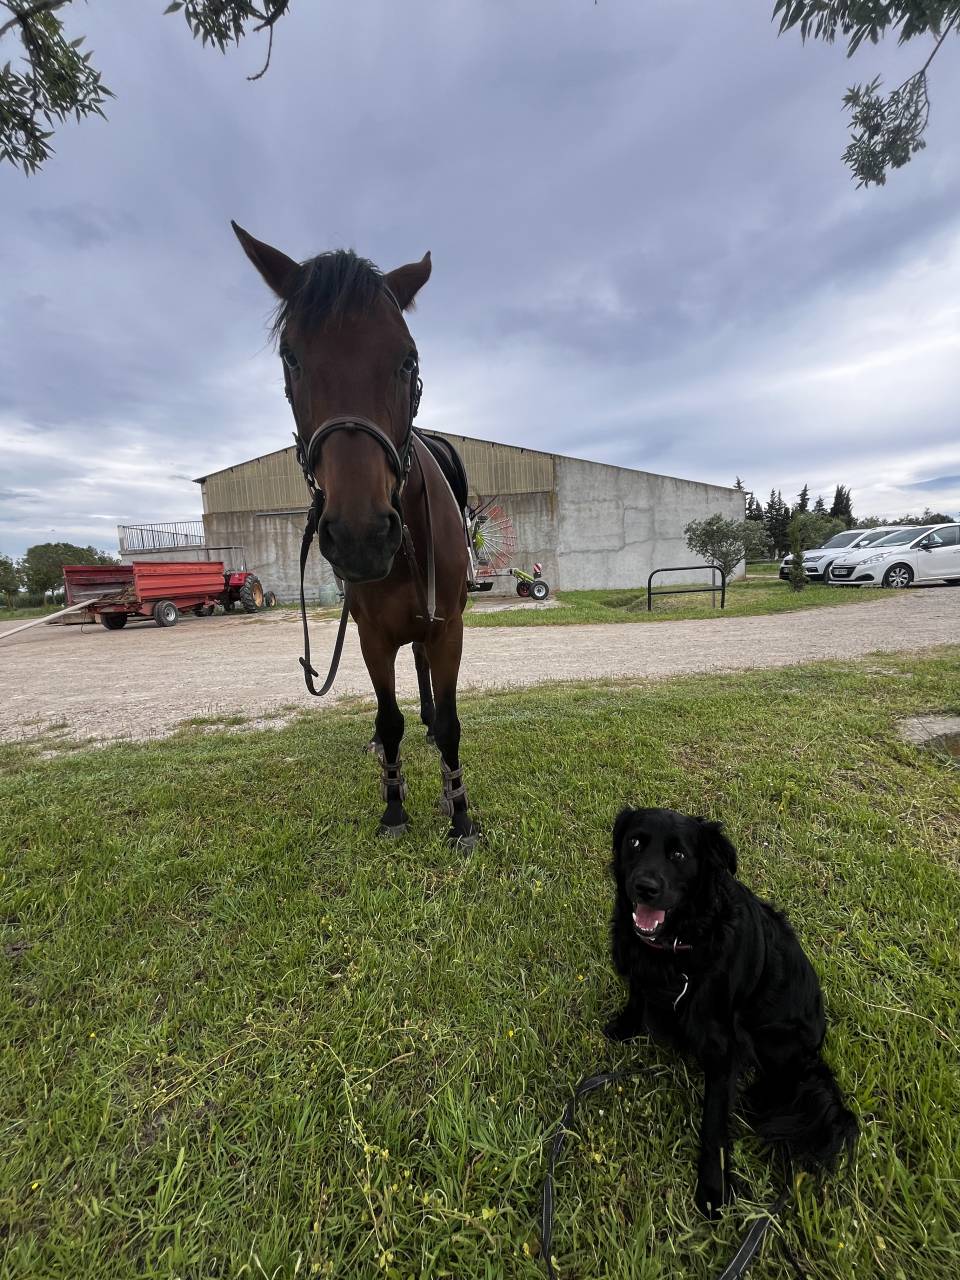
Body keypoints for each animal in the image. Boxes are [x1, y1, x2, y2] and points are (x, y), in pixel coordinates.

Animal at [231, 222, 480, 850]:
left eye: (407, 359)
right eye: (291, 357)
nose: (361, 536)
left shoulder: (449, 627)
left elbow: (450, 722)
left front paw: (460, 812)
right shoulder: (371, 636)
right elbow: (389, 721)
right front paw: (393, 806)